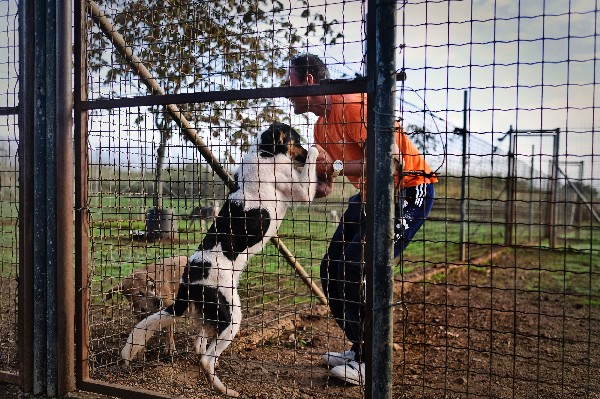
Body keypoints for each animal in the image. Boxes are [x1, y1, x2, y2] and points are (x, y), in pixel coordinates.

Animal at [119, 123, 322, 398]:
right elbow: (309, 171)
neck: (265, 153)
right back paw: (224, 388)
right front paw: (317, 150)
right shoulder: (301, 191)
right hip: (231, 314)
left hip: (210, 315)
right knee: (206, 358)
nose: (303, 149)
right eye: (297, 140)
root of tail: (190, 279)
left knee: (201, 346)